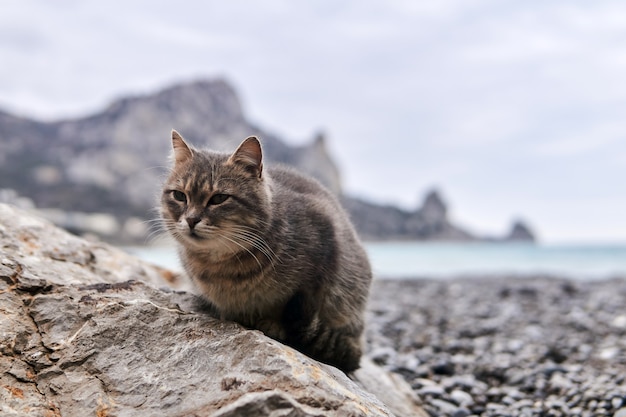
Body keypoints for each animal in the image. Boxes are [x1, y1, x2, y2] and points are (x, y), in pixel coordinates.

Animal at [161, 130, 370, 370]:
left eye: (219, 198)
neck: (221, 266)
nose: (191, 220)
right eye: (179, 196)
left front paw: (273, 323)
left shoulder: (323, 257)